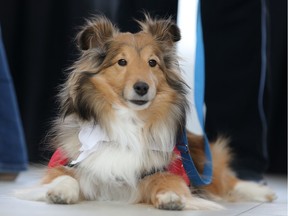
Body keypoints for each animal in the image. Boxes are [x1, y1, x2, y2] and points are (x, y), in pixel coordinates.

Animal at [16, 14, 276, 210]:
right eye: (121, 62)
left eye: (153, 63)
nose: (142, 87)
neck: (128, 120)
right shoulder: (69, 162)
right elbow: (63, 177)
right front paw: (59, 191)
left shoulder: (168, 170)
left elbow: (167, 182)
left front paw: (172, 197)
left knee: (227, 181)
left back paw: (264, 192)